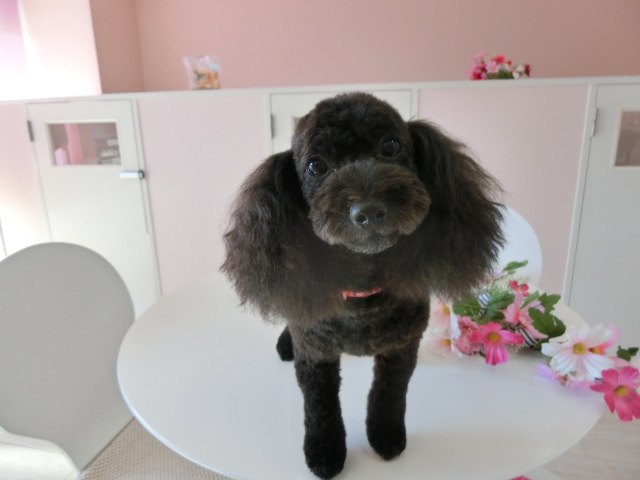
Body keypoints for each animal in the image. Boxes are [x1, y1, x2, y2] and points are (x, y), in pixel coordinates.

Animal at [222, 92, 504, 479]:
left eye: (391, 146)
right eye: (316, 166)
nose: (369, 211)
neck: (362, 290)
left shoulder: (401, 346)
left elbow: (390, 394)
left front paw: (387, 436)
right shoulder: (316, 353)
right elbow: (320, 407)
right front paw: (324, 452)